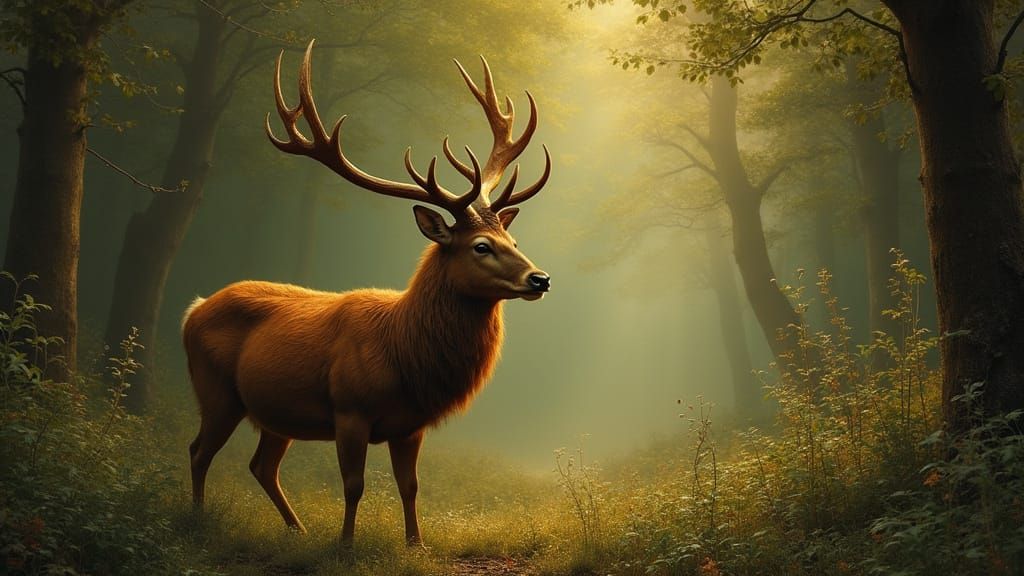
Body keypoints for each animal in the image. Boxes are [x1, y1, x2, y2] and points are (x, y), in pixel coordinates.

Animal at [181, 40, 552, 546]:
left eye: (512, 241)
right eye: (481, 246)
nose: (540, 279)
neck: (404, 351)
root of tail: (193, 309)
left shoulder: (411, 425)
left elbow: (411, 486)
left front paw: (416, 544)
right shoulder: (349, 409)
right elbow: (354, 485)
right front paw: (345, 544)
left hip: (275, 410)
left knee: (261, 465)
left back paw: (297, 530)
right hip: (215, 390)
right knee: (199, 450)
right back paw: (199, 518)